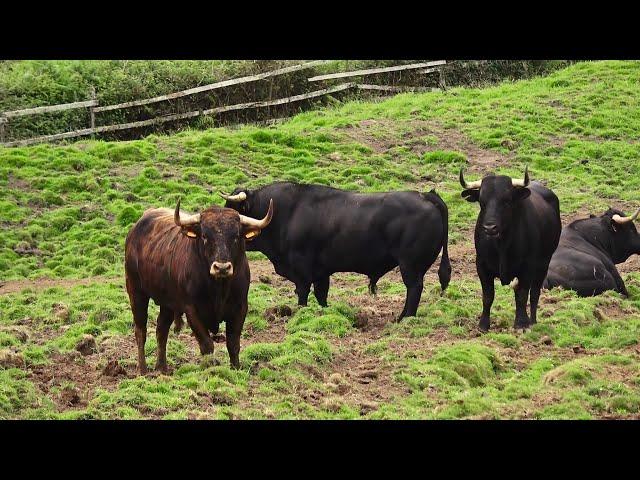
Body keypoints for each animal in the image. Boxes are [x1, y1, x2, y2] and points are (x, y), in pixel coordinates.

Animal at [124, 197, 272, 374]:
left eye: (236, 236)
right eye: (205, 236)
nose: (222, 267)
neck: (219, 289)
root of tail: (136, 228)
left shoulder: (240, 308)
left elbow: (233, 344)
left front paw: (236, 369)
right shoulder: (192, 310)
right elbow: (207, 345)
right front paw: (211, 370)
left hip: (167, 303)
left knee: (161, 330)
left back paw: (162, 368)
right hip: (136, 292)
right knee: (141, 330)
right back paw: (143, 369)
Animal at [220, 182, 450, 320]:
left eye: (234, 212)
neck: (285, 213)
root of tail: (426, 196)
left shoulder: (302, 270)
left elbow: (303, 294)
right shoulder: (322, 272)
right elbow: (322, 295)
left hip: (410, 266)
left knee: (414, 289)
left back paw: (404, 317)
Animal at [460, 168, 560, 330]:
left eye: (506, 200)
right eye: (482, 202)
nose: (490, 228)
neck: (502, 245)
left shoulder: (528, 266)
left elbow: (523, 295)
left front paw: (521, 323)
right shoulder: (481, 265)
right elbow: (488, 296)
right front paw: (483, 324)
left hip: (544, 263)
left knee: (534, 294)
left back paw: (532, 321)